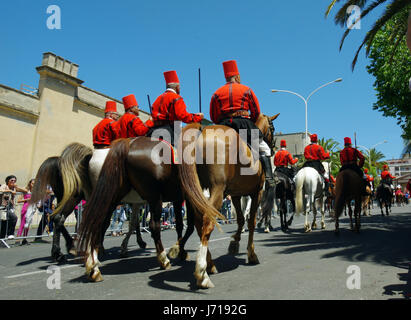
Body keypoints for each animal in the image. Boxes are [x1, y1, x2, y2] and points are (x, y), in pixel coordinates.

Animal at [178, 112, 278, 288]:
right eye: (272, 128)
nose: (273, 148)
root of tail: (202, 131)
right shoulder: (256, 193)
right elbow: (251, 222)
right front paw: (251, 254)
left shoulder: (236, 194)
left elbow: (240, 219)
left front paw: (234, 243)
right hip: (216, 190)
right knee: (207, 220)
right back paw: (202, 273)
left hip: (196, 191)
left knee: (197, 222)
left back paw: (209, 265)